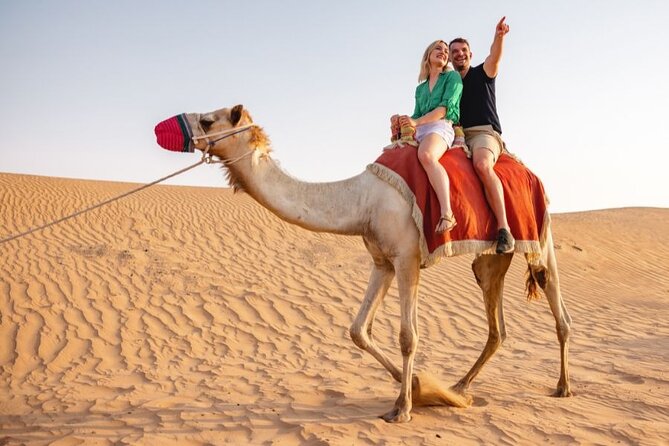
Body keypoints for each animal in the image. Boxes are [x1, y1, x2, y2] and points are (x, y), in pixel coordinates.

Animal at [169, 104, 573, 423]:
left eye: (208, 120)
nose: (173, 128)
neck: (362, 200)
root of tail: (530, 172)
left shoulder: (407, 258)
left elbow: (408, 336)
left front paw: (404, 407)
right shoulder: (382, 261)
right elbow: (357, 330)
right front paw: (416, 386)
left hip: (541, 234)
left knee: (556, 304)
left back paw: (562, 386)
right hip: (490, 260)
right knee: (496, 325)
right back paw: (460, 387)